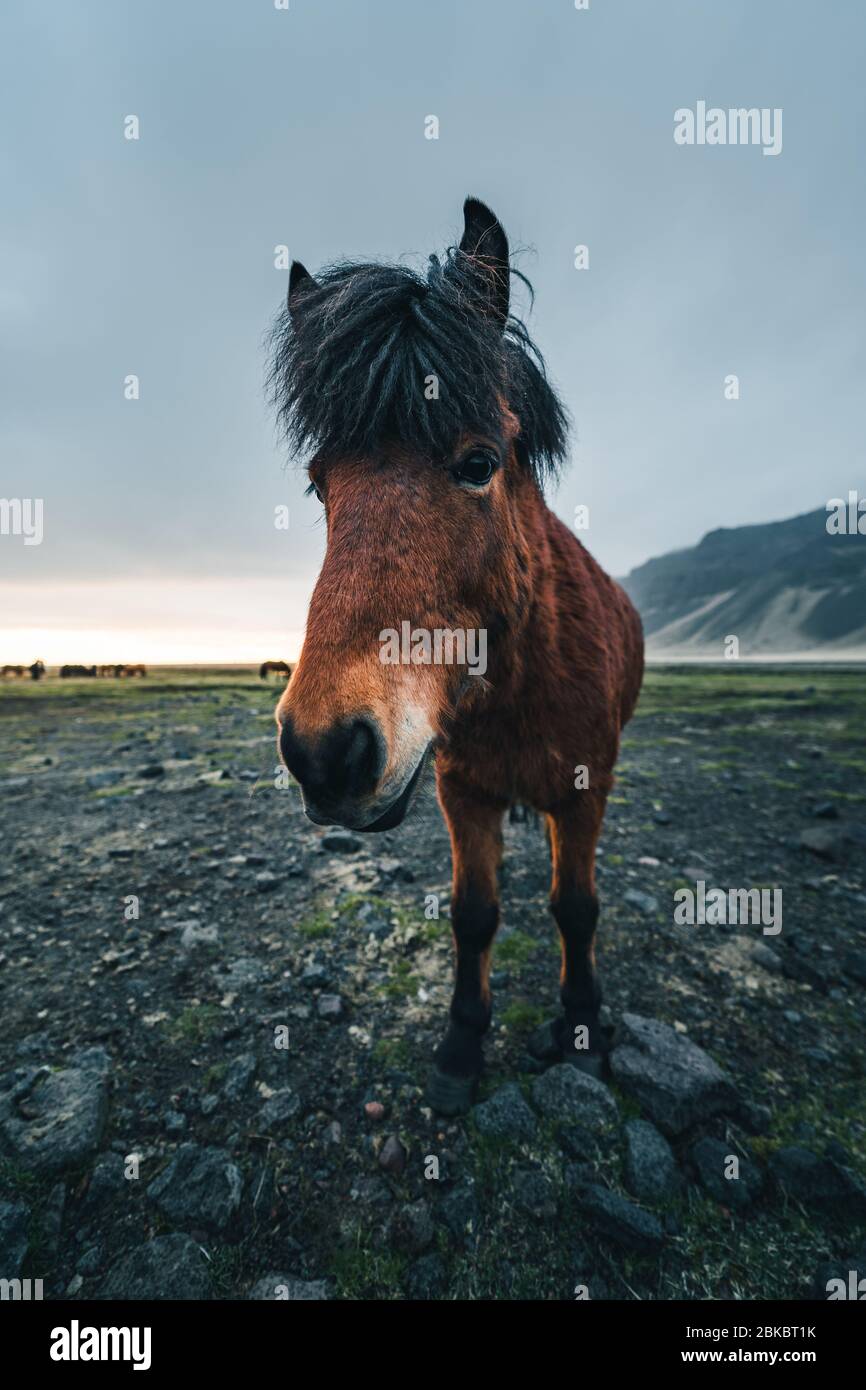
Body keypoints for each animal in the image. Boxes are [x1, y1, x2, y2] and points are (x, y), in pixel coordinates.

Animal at [268, 198, 644, 1115]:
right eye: (319, 486)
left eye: (479, 463)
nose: (324, 751)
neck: (518, 682)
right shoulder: (460, 791)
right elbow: (473, 915)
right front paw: (461, 1047)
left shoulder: (586, 792)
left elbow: (575, 908)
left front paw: (582, 1031)